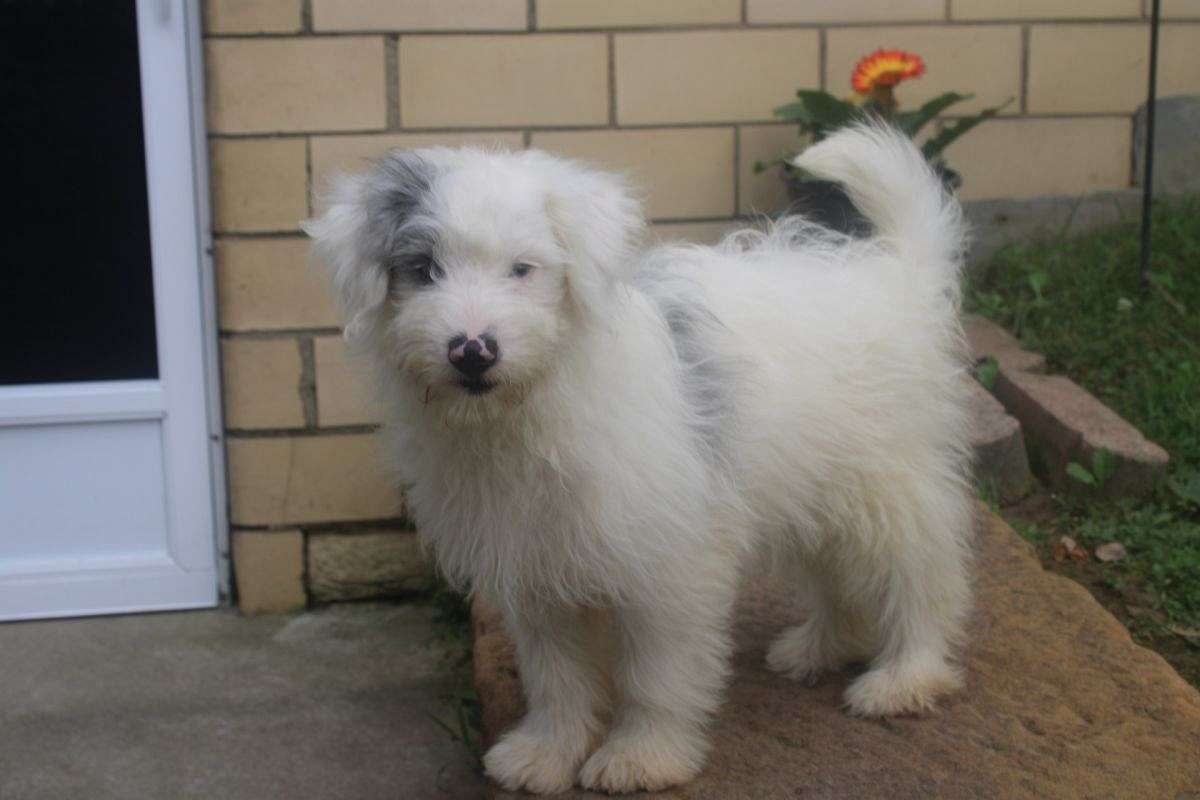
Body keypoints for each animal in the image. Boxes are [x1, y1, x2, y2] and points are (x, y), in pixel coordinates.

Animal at [307, 126, 974, 796]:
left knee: (923, 574)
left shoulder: (667, 568)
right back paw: (818, 648)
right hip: (813, 487)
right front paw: (547, 753)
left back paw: (905, 677)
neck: (537, 403)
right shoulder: (537, 565)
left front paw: (643, 756)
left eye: (522, 269)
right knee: (836, 574)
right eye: (423, 269)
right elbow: (556, 676)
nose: (472, 351)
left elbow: (656, 676)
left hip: (885, 483)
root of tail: (895, 273)